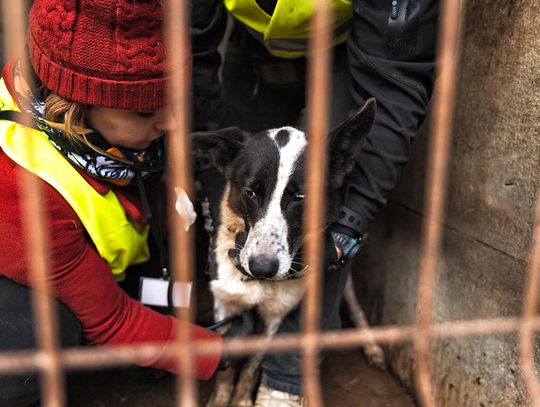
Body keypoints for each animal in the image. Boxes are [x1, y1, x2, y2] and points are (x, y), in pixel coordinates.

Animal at [192, 99, 382, 407]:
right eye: (251, 192)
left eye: (300, 197)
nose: (262, 267)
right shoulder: (226, 304)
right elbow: (227, 362)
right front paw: (221, 398)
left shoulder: (276, 317)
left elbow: (252, 366)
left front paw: (242, 399)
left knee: (353, 302)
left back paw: (373, 345)